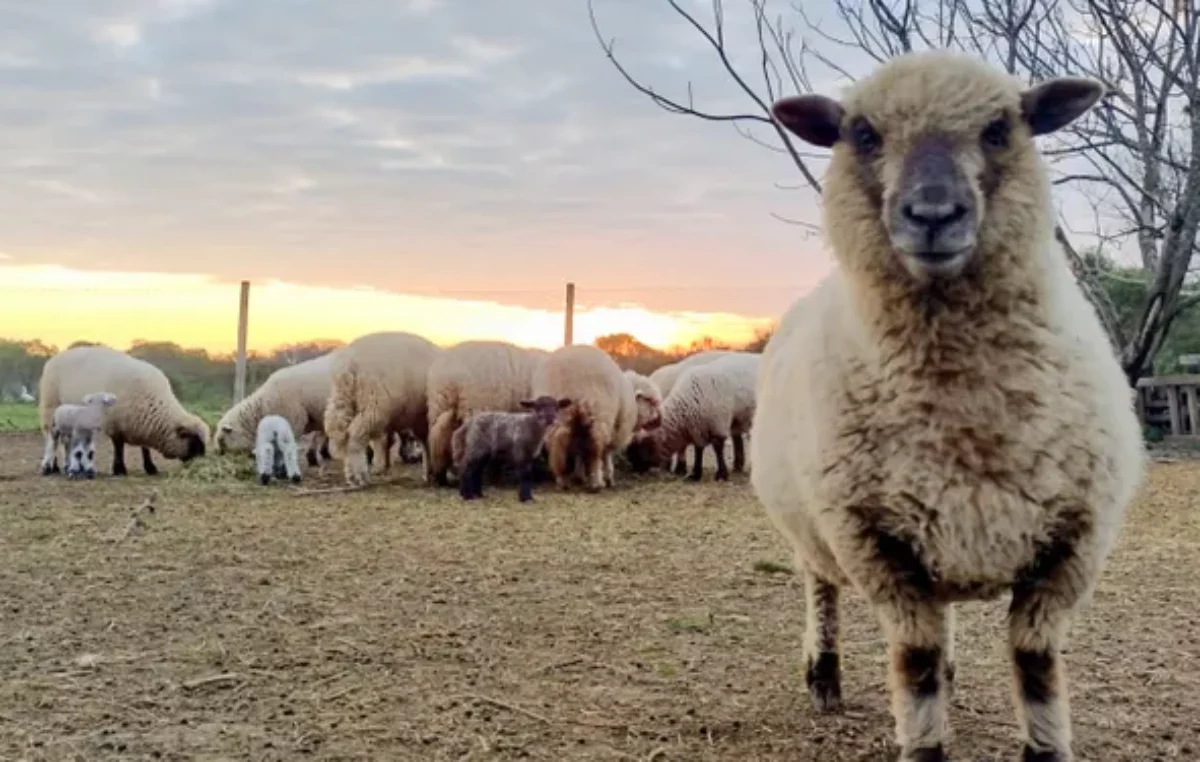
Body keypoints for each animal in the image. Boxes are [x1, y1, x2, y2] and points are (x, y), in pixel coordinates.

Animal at [532, 343, 638, 492]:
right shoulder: (615, 432)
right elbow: (606, 454)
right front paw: (609, 477)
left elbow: (579, 453)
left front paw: (579, 476)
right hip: (598, 410)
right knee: (595, 448)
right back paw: (596, 482)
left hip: (556, 413)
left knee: (557, 441)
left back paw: (562, 478)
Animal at [753, 49, 1147, 762]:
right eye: (863, 134)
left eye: (1000, 128)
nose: (932, 213)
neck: (966, 418)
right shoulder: (876, 544)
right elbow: (916, 664)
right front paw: (923, 738)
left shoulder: (1070, 547)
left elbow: (1036, 667)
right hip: (814, 534)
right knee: (821, 591)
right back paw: (823, 675)